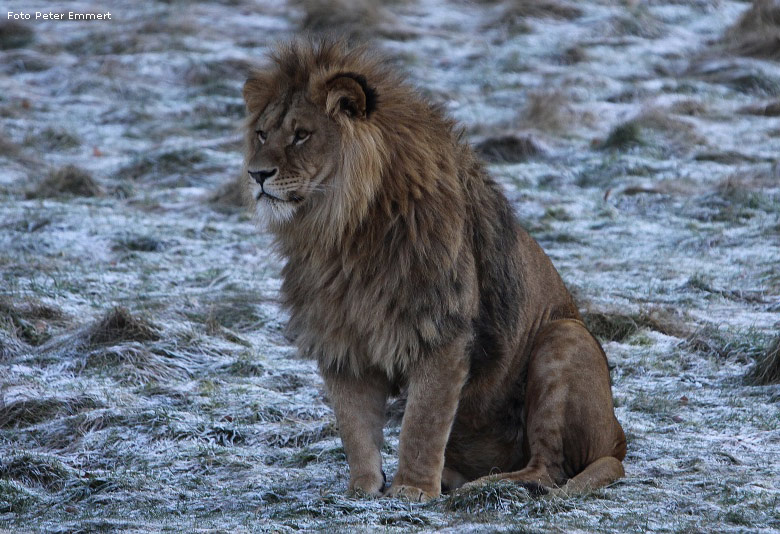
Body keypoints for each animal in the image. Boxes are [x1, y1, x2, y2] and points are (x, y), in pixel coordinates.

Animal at [241, 40, 624, 502]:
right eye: (262, 134)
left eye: (302, 134)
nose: (257, 174)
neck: (341, 233)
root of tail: (618, 441)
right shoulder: (341, 337)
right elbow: (354, 426)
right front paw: (362, 489)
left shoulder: (441, 329)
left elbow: (422, 422)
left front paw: (411, 489)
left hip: (565, 335)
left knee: (548, 470)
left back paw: (484, 485)